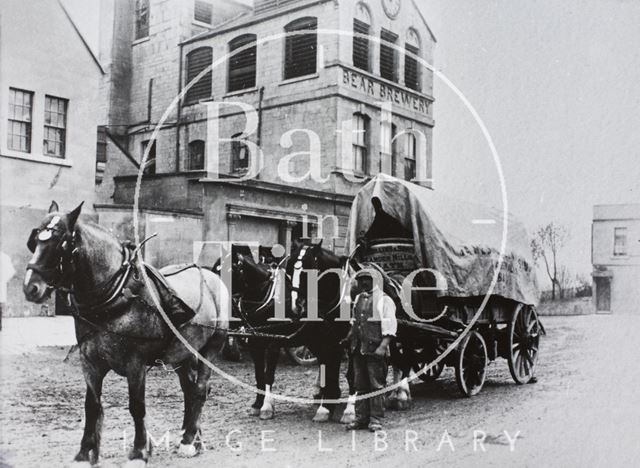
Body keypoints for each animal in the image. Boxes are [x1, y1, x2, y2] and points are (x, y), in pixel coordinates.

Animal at [24, 202, 230, 468]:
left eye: (62, 243)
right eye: (35, 240)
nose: (30, 287)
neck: (116, 296)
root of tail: (211, 276)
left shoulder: (136, 363)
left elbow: (137, 406)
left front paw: (140, 451)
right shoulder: (89, 361)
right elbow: (92, 405)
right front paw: (84, 452)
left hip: (211, 348)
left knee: (200, 389)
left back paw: (188, 441)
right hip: (182, 353)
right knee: (189, 389)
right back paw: (193, 438)